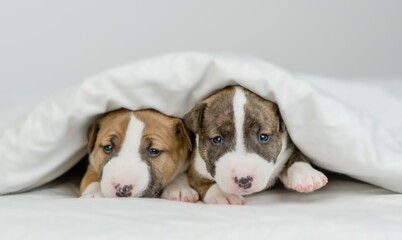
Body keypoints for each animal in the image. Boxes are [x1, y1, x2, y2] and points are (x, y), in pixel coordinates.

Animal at [185, 86, 326, 204]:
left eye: (263, 137)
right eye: (217, 139)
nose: (244, 180)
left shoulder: (287, 146)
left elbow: (296, 154)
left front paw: (305, 174)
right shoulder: (195, 168)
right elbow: (203, 183)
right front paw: (224, 195)